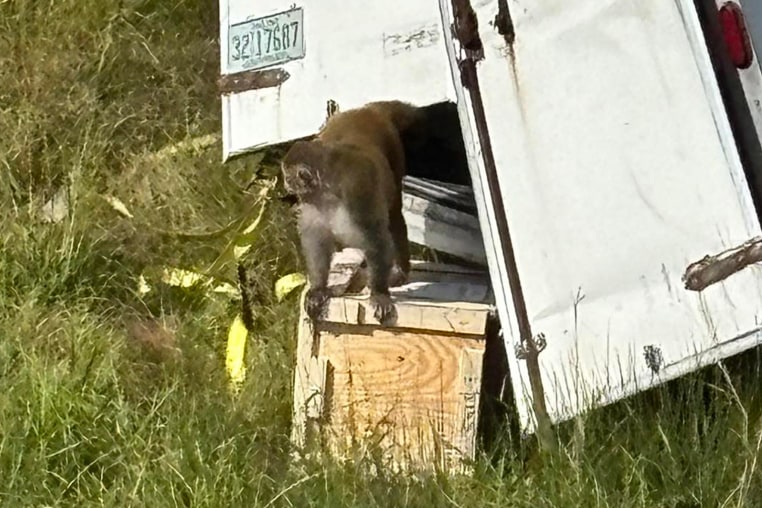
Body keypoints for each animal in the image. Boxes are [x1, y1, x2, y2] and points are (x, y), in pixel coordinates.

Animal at [281, 100, 423, 326]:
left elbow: (376, 238)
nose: (286, 184)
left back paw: (400, 271)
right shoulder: (312, 203)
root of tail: (367, 110)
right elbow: (317, 241)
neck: (328, 190)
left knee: (393, 215)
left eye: (288, 177)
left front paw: (379, 293)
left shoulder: (357, 191)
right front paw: (318, 288)